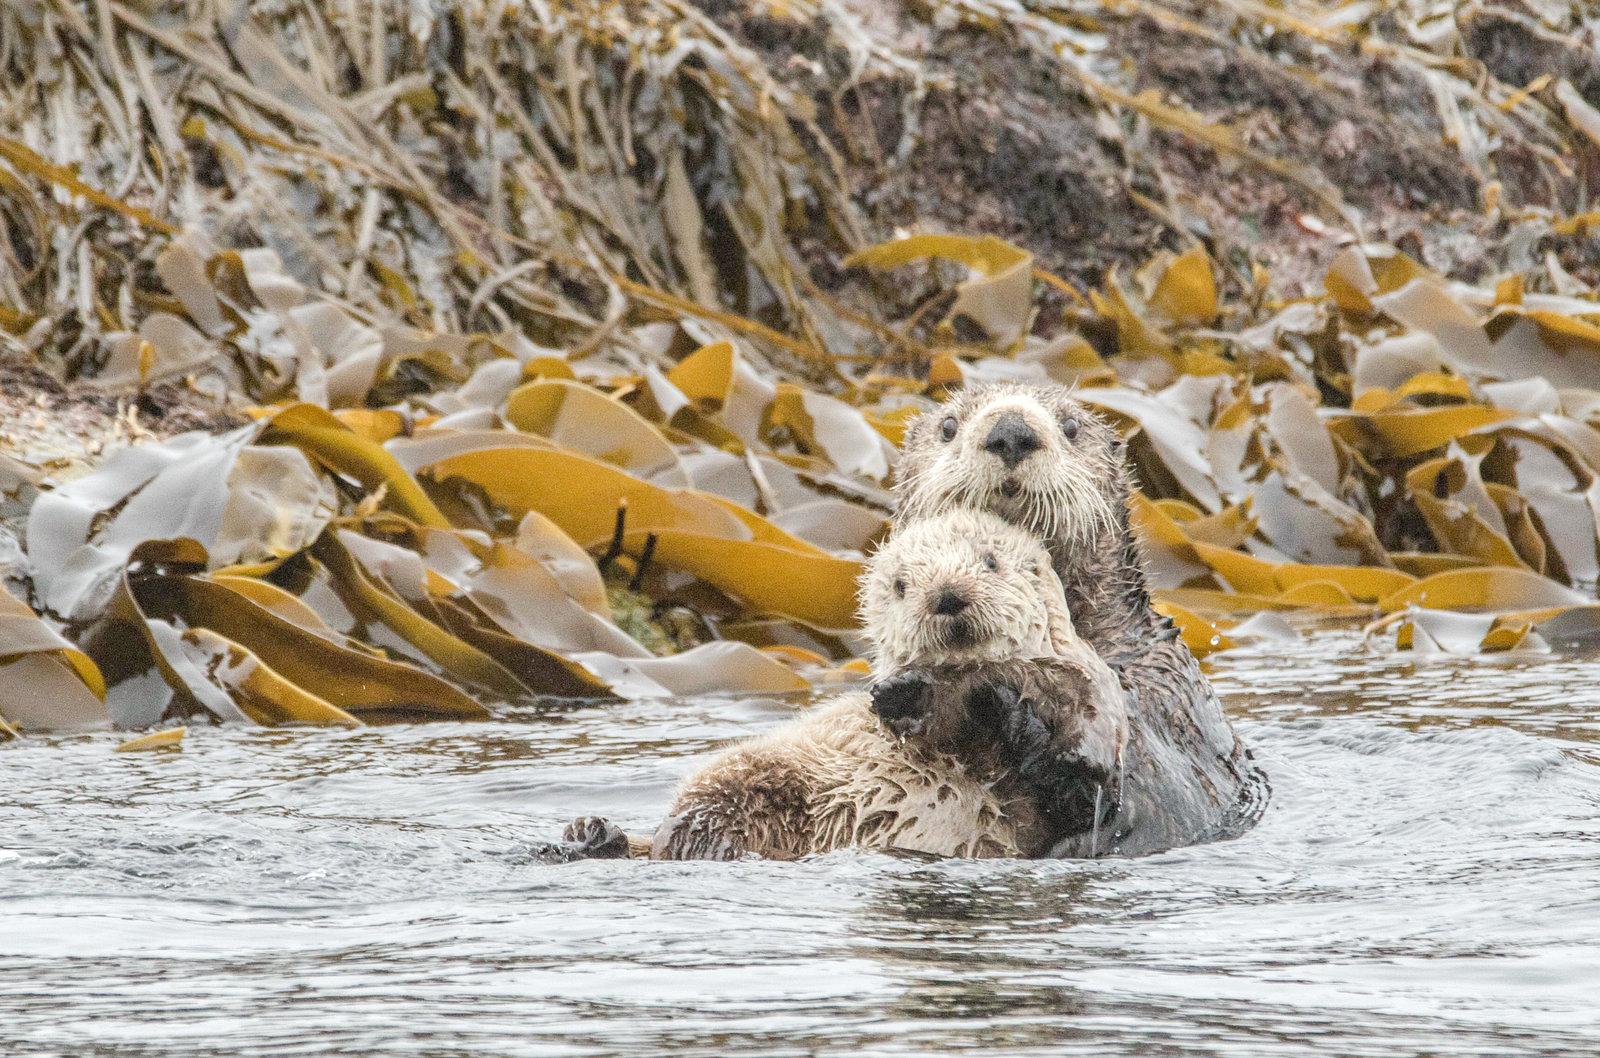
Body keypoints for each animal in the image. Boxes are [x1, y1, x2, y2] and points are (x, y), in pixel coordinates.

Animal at [555, 511, 1127, 861]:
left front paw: (1005, 705)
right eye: (901, 585)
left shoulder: (1095, 719)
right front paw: (911, 696)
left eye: (991, 561)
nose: (946, 595)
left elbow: (1075, 786)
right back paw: (599, 835)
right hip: (760, 774)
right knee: (700, 818)